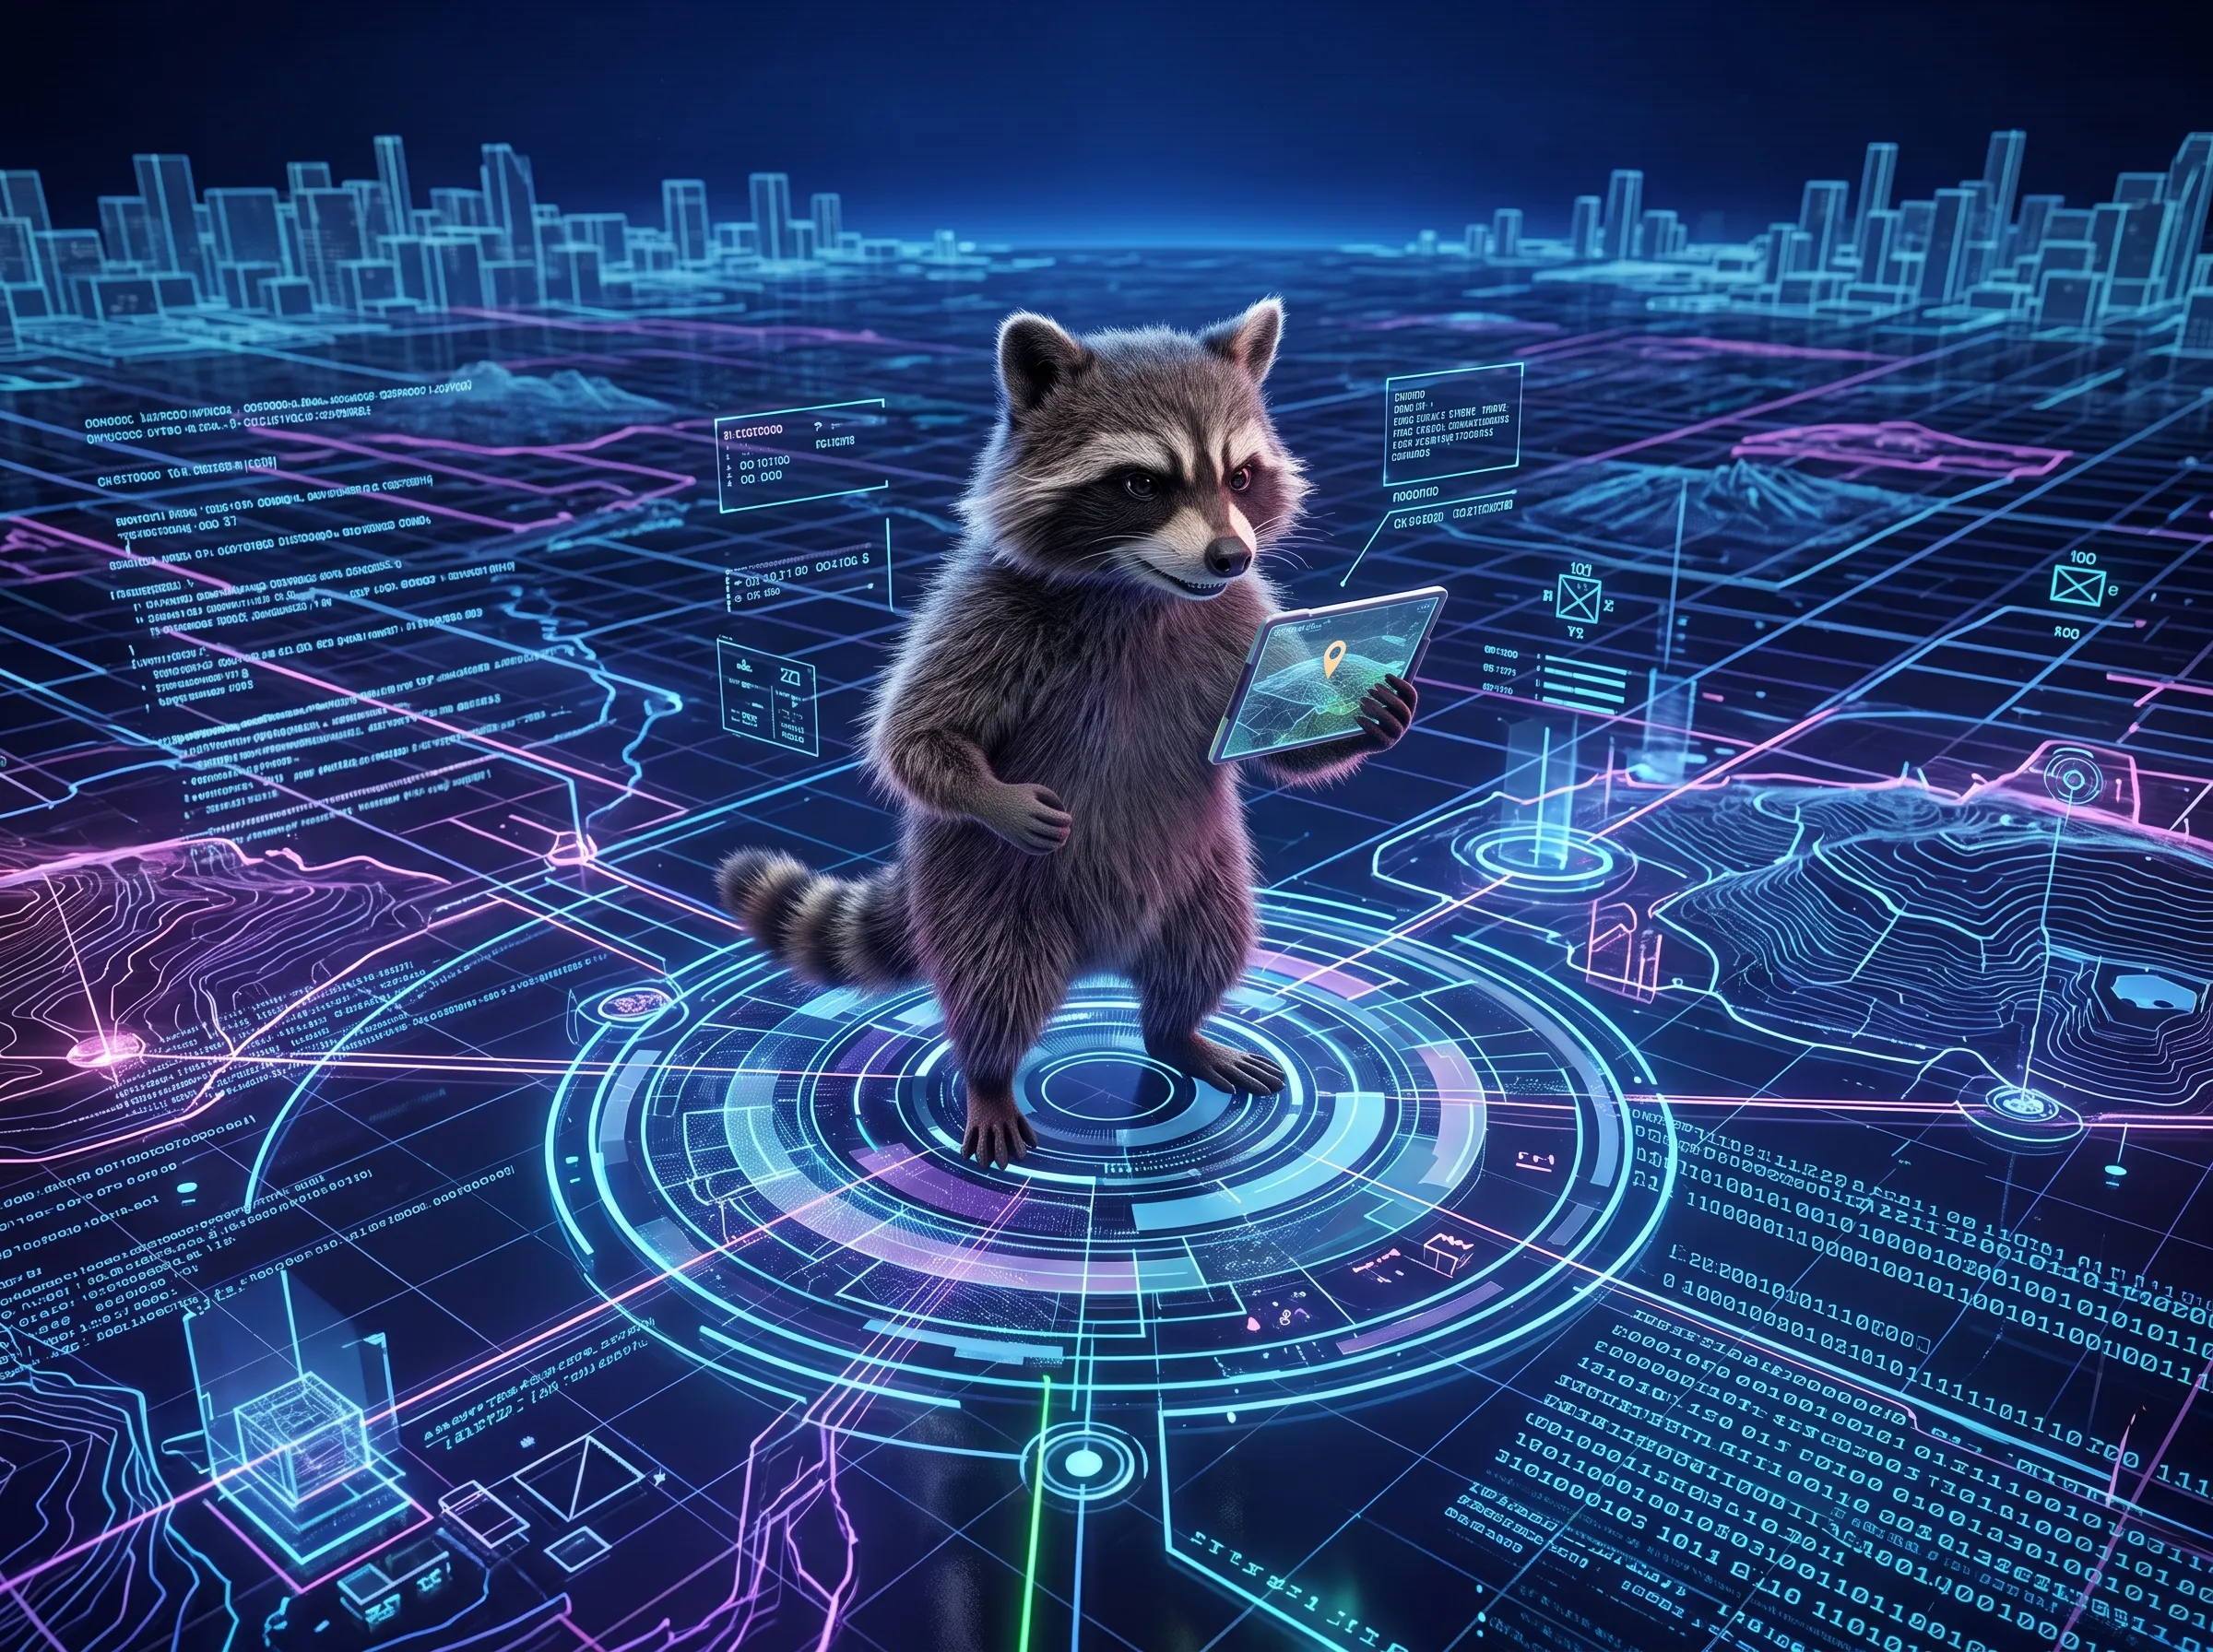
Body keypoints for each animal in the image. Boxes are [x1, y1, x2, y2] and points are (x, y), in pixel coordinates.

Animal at [717, 298, 1416, 1166]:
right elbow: (913, 736)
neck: (1139, 589)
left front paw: (1366, 717)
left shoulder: (1242, 616)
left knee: (1206, 950)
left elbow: (1280, 735)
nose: (1230, 555)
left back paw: (1180, 1030)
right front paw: (994, 794)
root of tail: (1102, 957)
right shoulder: (986, 610)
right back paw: (989, 1074)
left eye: (1240, 477)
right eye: (1142, 483)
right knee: (994, 986)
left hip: (1205, 877)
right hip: (982, 893)